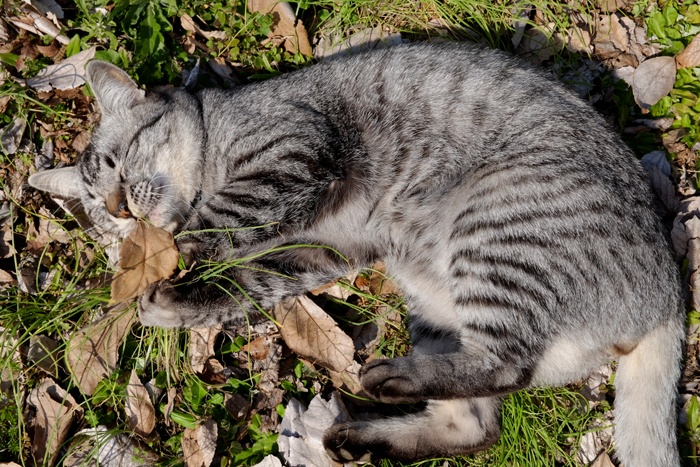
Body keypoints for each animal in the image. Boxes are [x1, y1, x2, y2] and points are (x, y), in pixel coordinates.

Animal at [28, 42, 684, 466]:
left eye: (116, 165)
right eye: (95, 206)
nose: (118, 211)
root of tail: (670, 297)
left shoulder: (291, 152)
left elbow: (218, 227)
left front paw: (169, 266)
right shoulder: (321, 248)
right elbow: (248, 279)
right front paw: (172, 301)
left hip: (497, 226)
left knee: (507, 365)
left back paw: (388, 379)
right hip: (432, 294)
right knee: (477, 425)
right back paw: (362, 432)